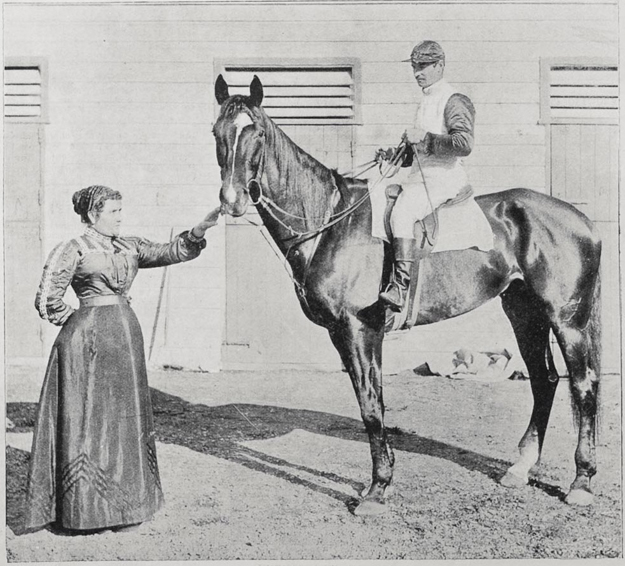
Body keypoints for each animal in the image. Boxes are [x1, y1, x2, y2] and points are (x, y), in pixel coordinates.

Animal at [212, 73, 604, 516]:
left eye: (258, 133)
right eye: (217, 132)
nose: (231, 201)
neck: (330, 222)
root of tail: (582, 220)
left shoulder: (361, 330)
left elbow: (370, 405)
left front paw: (377, 489)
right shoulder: (344, 335)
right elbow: (371, 401)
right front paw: (382, 481)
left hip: (567, 321)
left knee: (583, 385)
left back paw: (581, 482)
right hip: (525, 314)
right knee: (545, 380)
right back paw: (520, 469)